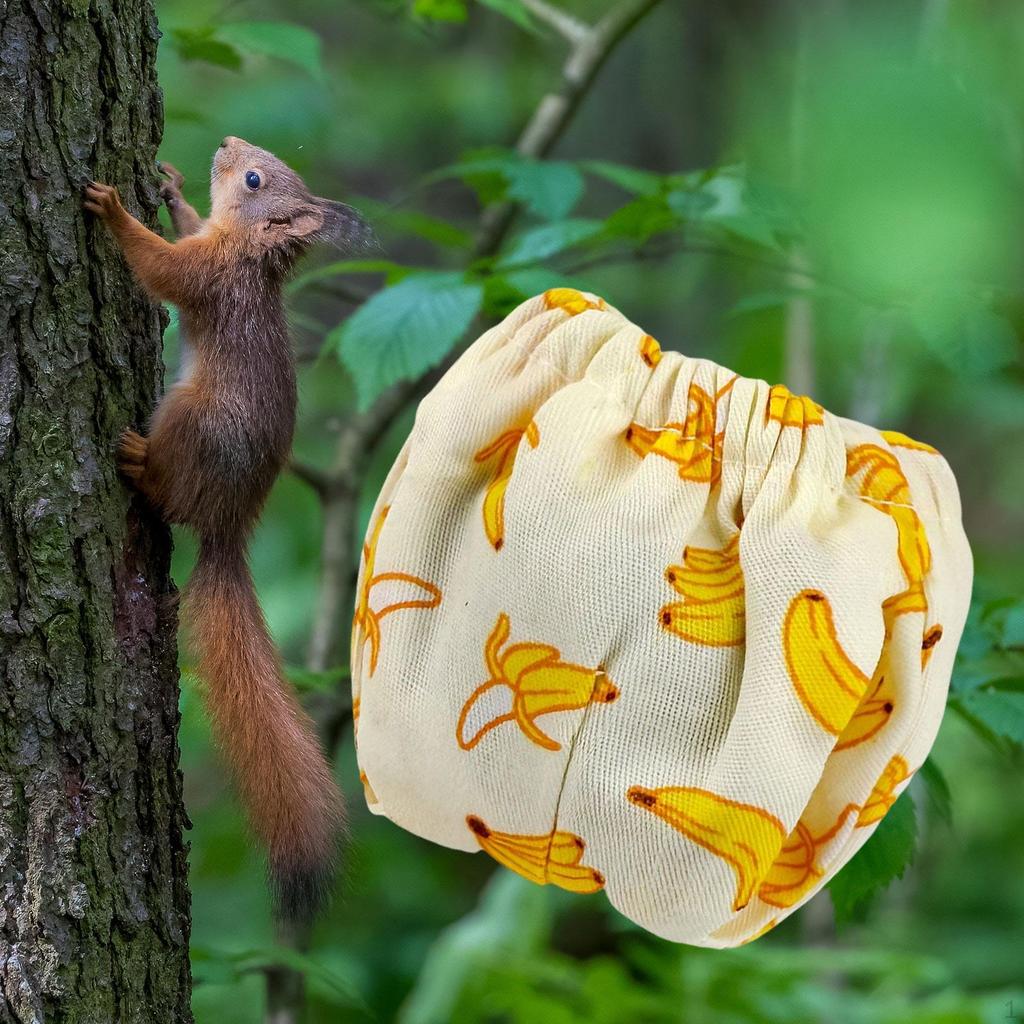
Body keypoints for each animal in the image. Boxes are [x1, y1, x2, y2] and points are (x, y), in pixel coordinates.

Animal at [84, 136, 373, 922]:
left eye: (252, 179)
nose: (225, 145)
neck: (247, 254)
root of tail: (228, 525)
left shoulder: (210, 279)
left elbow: (162, 268)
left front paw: (115, 210)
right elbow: (184, 230)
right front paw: (169, 187)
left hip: (192, 422)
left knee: (164, 489)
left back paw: (138, 462)